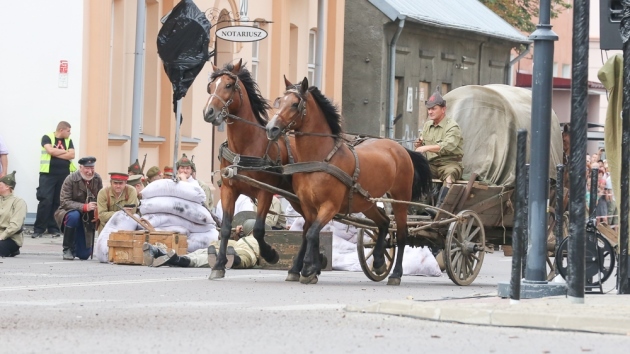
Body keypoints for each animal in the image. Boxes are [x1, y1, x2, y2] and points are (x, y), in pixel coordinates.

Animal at [202, 60, 302, 280]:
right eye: (210, 87)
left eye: (229, 85)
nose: (208, 112)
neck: (245, 147)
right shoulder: (228, 190)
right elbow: (225, 228)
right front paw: (219, 265)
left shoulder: (265, 192)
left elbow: (258, 230)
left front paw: (271, 254)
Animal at [266, 76, 434, 284]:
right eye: (279, 101)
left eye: (295, 104)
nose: (271, 128)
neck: (322, 157)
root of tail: (399, 147)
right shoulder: (308, 206)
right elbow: (308, 233)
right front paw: (310, 268)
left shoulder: (330, 206)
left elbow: (312, 233)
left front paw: (308, 268)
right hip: (367, 202)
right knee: (384, 222)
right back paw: (378, 261)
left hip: (400, 199)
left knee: (402, 234)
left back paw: (395, 274)